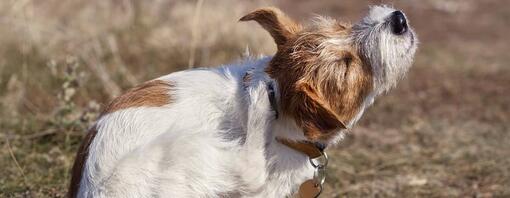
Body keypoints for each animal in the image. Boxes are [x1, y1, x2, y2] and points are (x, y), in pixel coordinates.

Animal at [68, 5, 418, 198]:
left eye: (342, 27)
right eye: (347, 64)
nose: (398, 19)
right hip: (188, 148)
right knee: (249, 170)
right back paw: (258, 101)